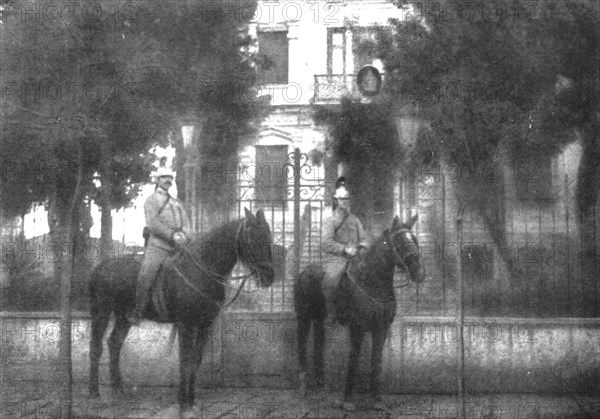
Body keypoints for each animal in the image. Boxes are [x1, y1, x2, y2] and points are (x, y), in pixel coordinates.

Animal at [88, 210, 274, 419]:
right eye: (251, 237)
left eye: (268, 236)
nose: (269, 275)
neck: (203, 269)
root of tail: (100, 267)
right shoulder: (186, 324)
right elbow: (185, 361)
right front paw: (183, 405)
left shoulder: (204, 325)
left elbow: (195, 361)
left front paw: (191, 402)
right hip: (101, 312)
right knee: (96, 348)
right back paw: (94, 394)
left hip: (124, 317)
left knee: (114, 344)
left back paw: (118, 389)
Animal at [294, 215, 424, 412]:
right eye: (400, 242)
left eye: (414, 239)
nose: (418, 271)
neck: (371, 282)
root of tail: (303, 273)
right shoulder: (358, 328)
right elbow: (353, 360)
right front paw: (348, 400)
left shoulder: (381, 329)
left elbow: (376, 361)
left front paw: (377, 400)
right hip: (303, 317)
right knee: (301, 344)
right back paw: (303, 386)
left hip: (319, 319)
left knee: (318, 345)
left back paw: (321, 383)